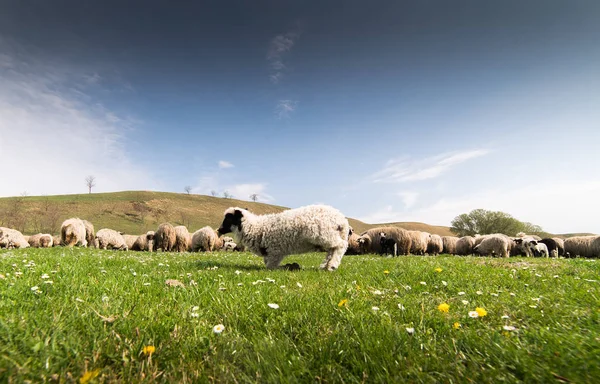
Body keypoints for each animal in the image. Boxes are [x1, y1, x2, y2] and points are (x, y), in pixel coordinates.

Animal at [217, 206, 350, 272]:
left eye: (228, 218)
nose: (219, 230)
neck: (254, 227)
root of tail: (342, 220)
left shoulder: (275, 251)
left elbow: (270, 266)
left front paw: (289, 266)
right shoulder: (270, 252)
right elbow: (268, 264)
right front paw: (292, 266)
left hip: (324, 235)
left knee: (341, 245)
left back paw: (332, 266)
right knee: (333, 250)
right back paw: (326, 266)